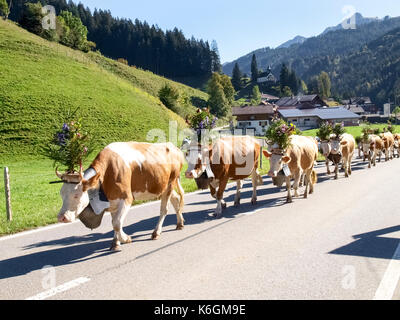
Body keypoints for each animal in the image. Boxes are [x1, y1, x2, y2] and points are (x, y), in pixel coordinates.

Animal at [55, 141, 185, 251]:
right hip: (164, 186)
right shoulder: (113, 200)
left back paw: (156, 232)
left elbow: (117, 223)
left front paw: (125, 239)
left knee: (164, 209)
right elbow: (114, 222)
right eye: (61, 194)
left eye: (76, 195)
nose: (61, 217)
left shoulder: (126, 198)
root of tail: (174, 147)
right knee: (176, 199)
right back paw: (180, 223)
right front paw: (115, 242)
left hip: (170, 183)